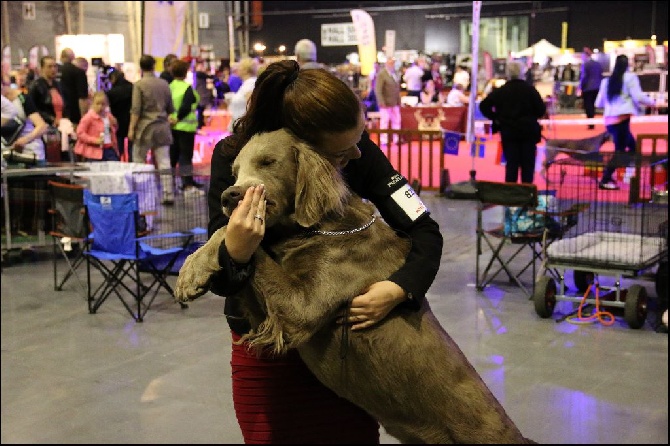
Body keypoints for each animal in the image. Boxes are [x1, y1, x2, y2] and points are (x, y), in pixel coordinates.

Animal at [176, 128, 540, 442]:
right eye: (235, 171)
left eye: (268, 161)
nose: (229, 196)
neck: (319, 226)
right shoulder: (265, 313)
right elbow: (228, 237)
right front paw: (192, 271)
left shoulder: (299, 310)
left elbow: (233, 234)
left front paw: (190, 272)